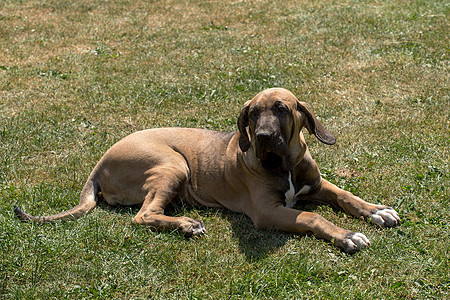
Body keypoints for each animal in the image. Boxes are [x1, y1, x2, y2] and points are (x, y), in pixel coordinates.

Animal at [14, 88, 400, 252]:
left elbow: (346, 195)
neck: (285, 164)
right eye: (252, 114)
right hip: (172, 165)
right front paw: (347, 236)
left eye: (282, 109)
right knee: (142, 215)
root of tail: (98, 164)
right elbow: (311, 216)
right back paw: (186, 224)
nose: (262, 138)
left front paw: (377, 211)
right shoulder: (267, 211)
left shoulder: (316, 184)